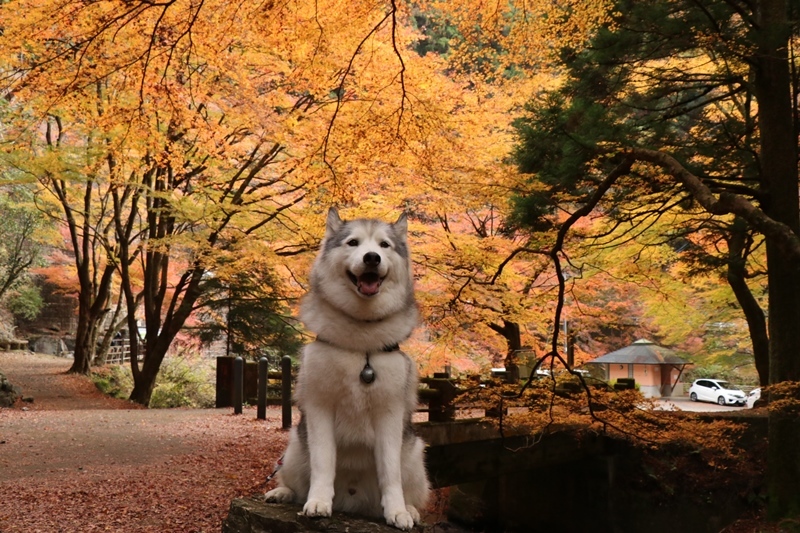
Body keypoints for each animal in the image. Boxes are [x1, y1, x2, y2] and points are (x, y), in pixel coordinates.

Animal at [266, 207, 432, 528]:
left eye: (384, 245)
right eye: (353, 243)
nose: (372, 258)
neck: (361, 341)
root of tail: (352, 502)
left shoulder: (389, 413)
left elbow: (390, 472)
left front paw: (397, 511)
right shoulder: (319, 407)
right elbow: (323, 462)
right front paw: (318, 501)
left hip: (415, 454)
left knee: (409, 484)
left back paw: (411, 509)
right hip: (294, 447)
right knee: (294, 481)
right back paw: (283, 492)